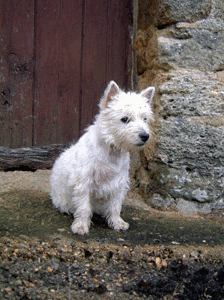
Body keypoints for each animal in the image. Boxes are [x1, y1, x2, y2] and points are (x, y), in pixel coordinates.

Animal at [50, 81, 155, 234]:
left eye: (145, 118)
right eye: (125, 119)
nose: (145, 136)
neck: (112, 149)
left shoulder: (119, 184)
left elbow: (115, 206)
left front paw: (117, 223)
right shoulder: (84, 182)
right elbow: (84, 207)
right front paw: (81, 226)